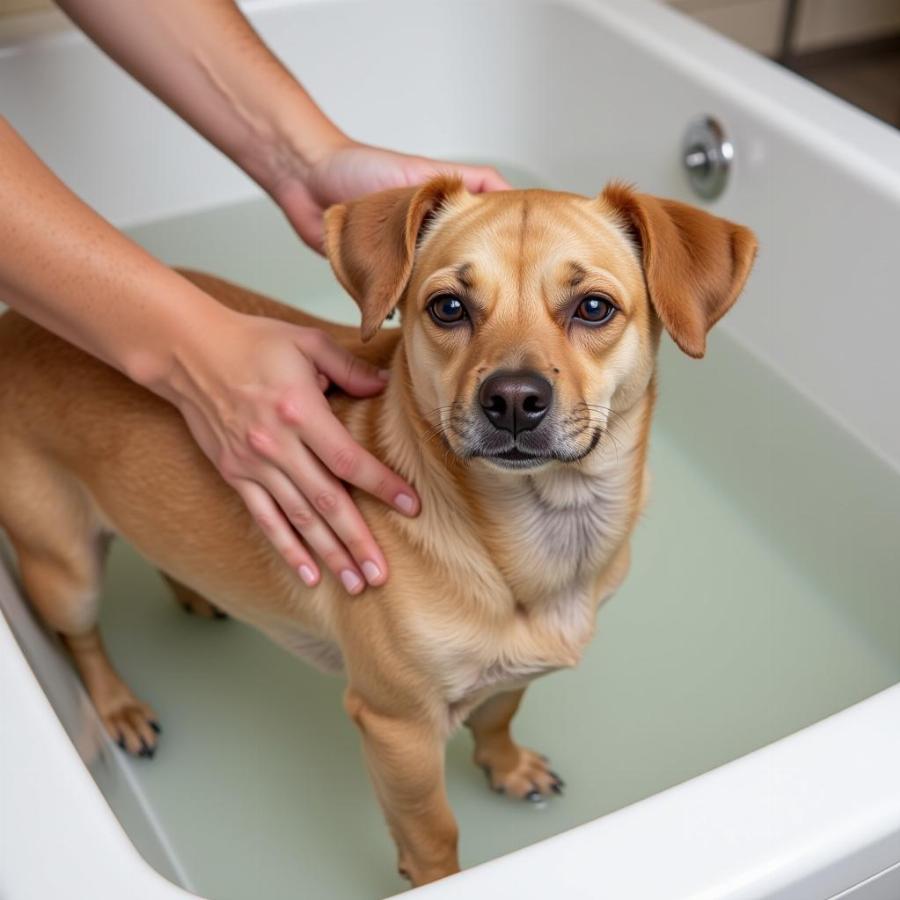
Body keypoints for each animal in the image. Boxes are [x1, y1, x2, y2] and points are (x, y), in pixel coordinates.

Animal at [0, 178, 756, 884]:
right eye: (448, 307)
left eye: (593, 307)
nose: (513, 398)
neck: (535, 534)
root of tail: (15, 324)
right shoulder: (399, 729)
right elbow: (432, 831)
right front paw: (440, 880)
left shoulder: (512, 674)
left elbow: (497, 716)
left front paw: (507, 766)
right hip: (66, 569)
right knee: (80, 639)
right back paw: (120, 708)